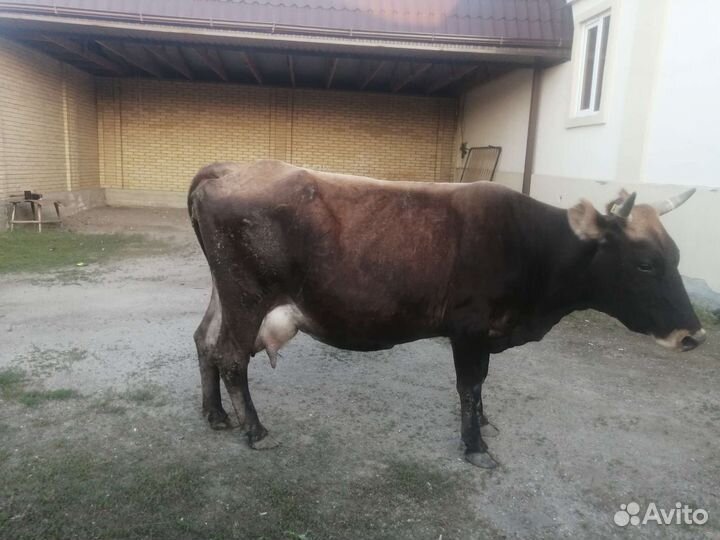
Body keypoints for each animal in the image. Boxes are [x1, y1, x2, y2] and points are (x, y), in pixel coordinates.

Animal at [188, 160, 705, 468]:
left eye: (677, 255)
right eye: (645, 263)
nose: (694, 336)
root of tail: (228, 169)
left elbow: (482, 384)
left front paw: (485, 424)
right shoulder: (469, 327)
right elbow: (470, 385)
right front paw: (475, 445)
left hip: (224, 293)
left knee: (204, 341)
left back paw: (215, 415)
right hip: (246, 296)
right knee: (231, 356)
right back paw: (255, 430)